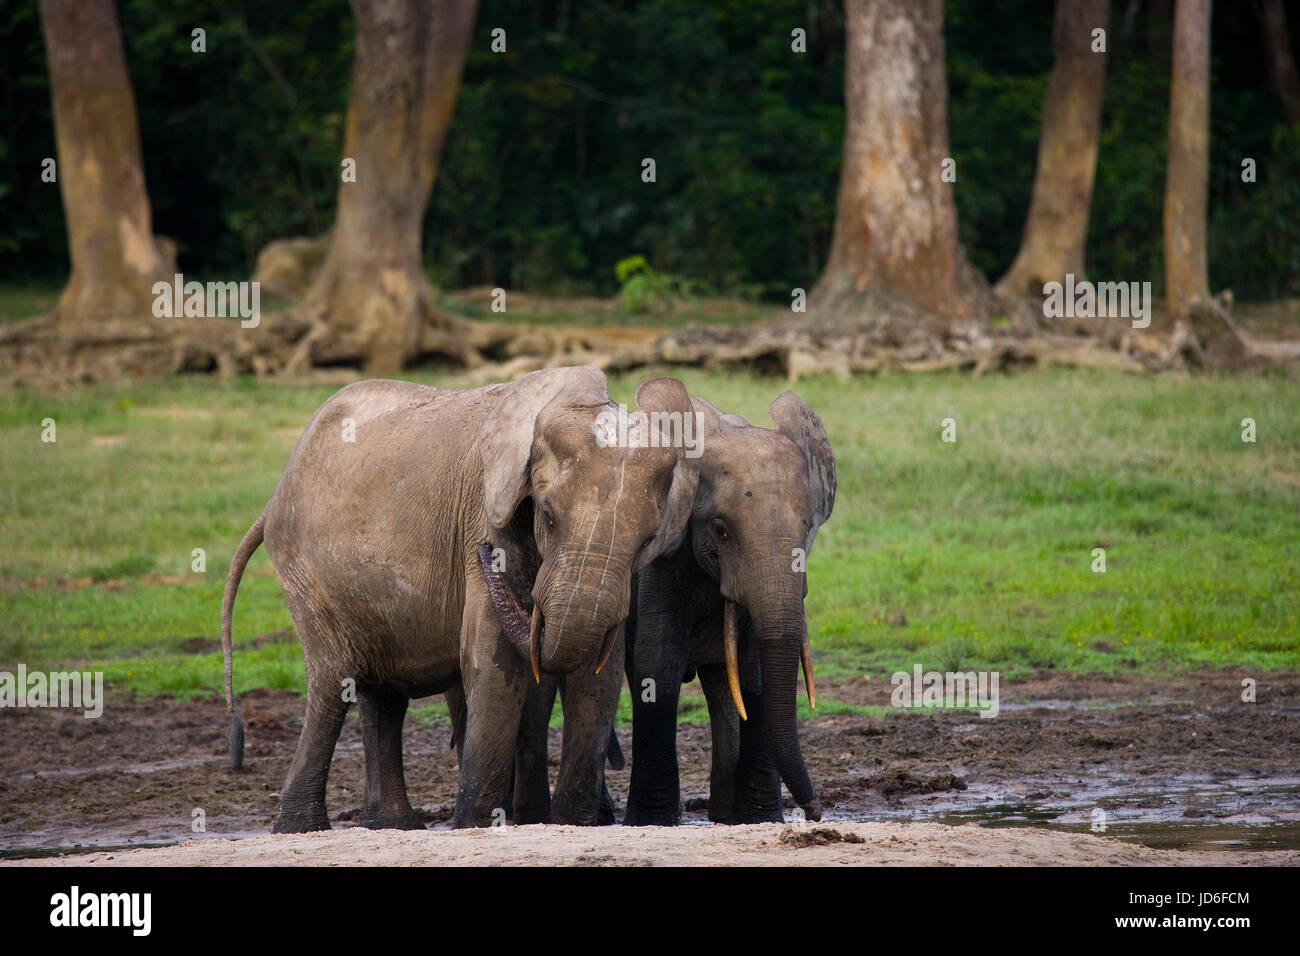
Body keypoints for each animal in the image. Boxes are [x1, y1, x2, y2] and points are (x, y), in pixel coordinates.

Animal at [219, 366, 699, 831]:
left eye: (648, 540)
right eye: (547, 517)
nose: (484, 555)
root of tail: (273, 497)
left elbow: (598, 676)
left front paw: (571, 824)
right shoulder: (483, 516)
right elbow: (491, 663)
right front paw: (478, 825)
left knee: (380, 694)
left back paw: (393, 826)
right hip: (304, 569)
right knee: (332, 682)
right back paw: (301, 829)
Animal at [512, 389, 835, 826]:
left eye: (808, 528)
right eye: (720, 530)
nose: (816, 811)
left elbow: (754, 671)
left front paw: (759, 818)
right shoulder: (659, 562)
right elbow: (658, 665)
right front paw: (650, 821)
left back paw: (723, 815)